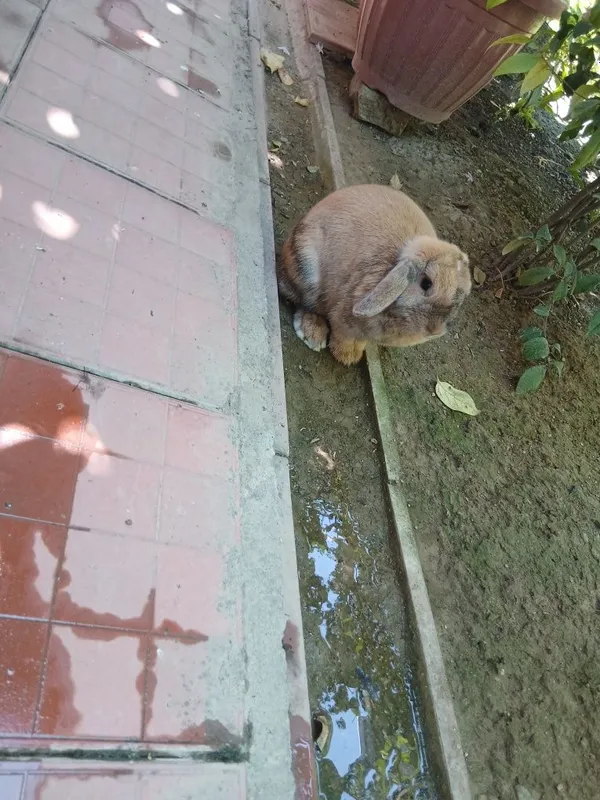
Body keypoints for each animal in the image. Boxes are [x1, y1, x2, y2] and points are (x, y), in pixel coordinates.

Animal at [278, 184, 471, 365]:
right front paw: (346, 357)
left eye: (463, 296)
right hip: (305, 266)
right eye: (426, 283)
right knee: (304, 302)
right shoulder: (344, 321)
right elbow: (343, 335)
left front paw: (354, 354)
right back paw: (313, 334)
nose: (436, 330)